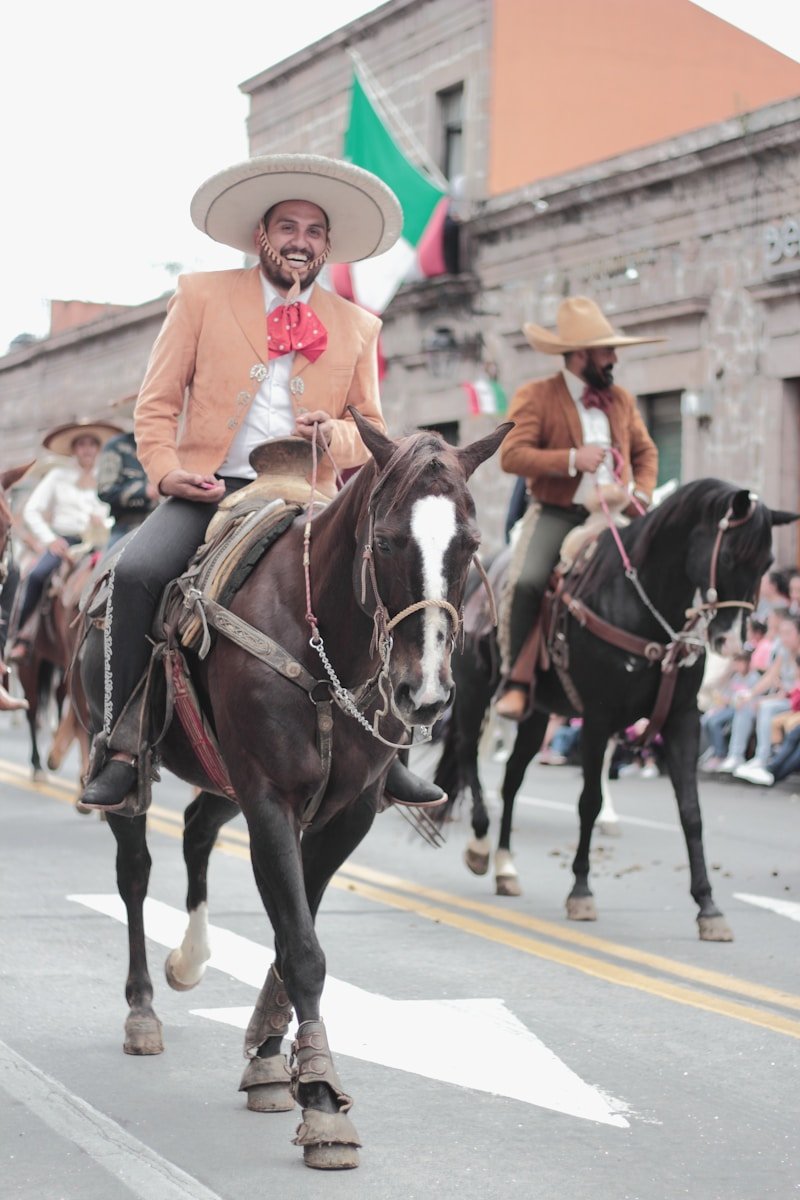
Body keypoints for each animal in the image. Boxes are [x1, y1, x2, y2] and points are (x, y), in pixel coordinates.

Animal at [77, 415, 510, 1171]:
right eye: (385, 540)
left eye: (470, 544)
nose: (424, 694)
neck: (323, 643)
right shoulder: (271, 800)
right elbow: (302, 948)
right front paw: (323, 1105)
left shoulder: (347, 814)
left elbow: (294, 931)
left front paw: (272, 1061)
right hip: (137, 777)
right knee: (134, 873)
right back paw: (143, 1008)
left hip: (221, 781)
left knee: (197, 829)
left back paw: (192, 959)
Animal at [434, 477, 796, 936]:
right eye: (730, 555)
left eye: (767, 562)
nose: (733, 642)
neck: (642, 606)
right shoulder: (597, 717)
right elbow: (587, 801)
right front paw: (581, 891)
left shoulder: (681, 720)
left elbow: (691, 812)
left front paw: (708, 907)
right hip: (476, 694)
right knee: (468, 755)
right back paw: (480, 845)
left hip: (536, 715)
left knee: (511, 778)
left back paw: (505, 867)